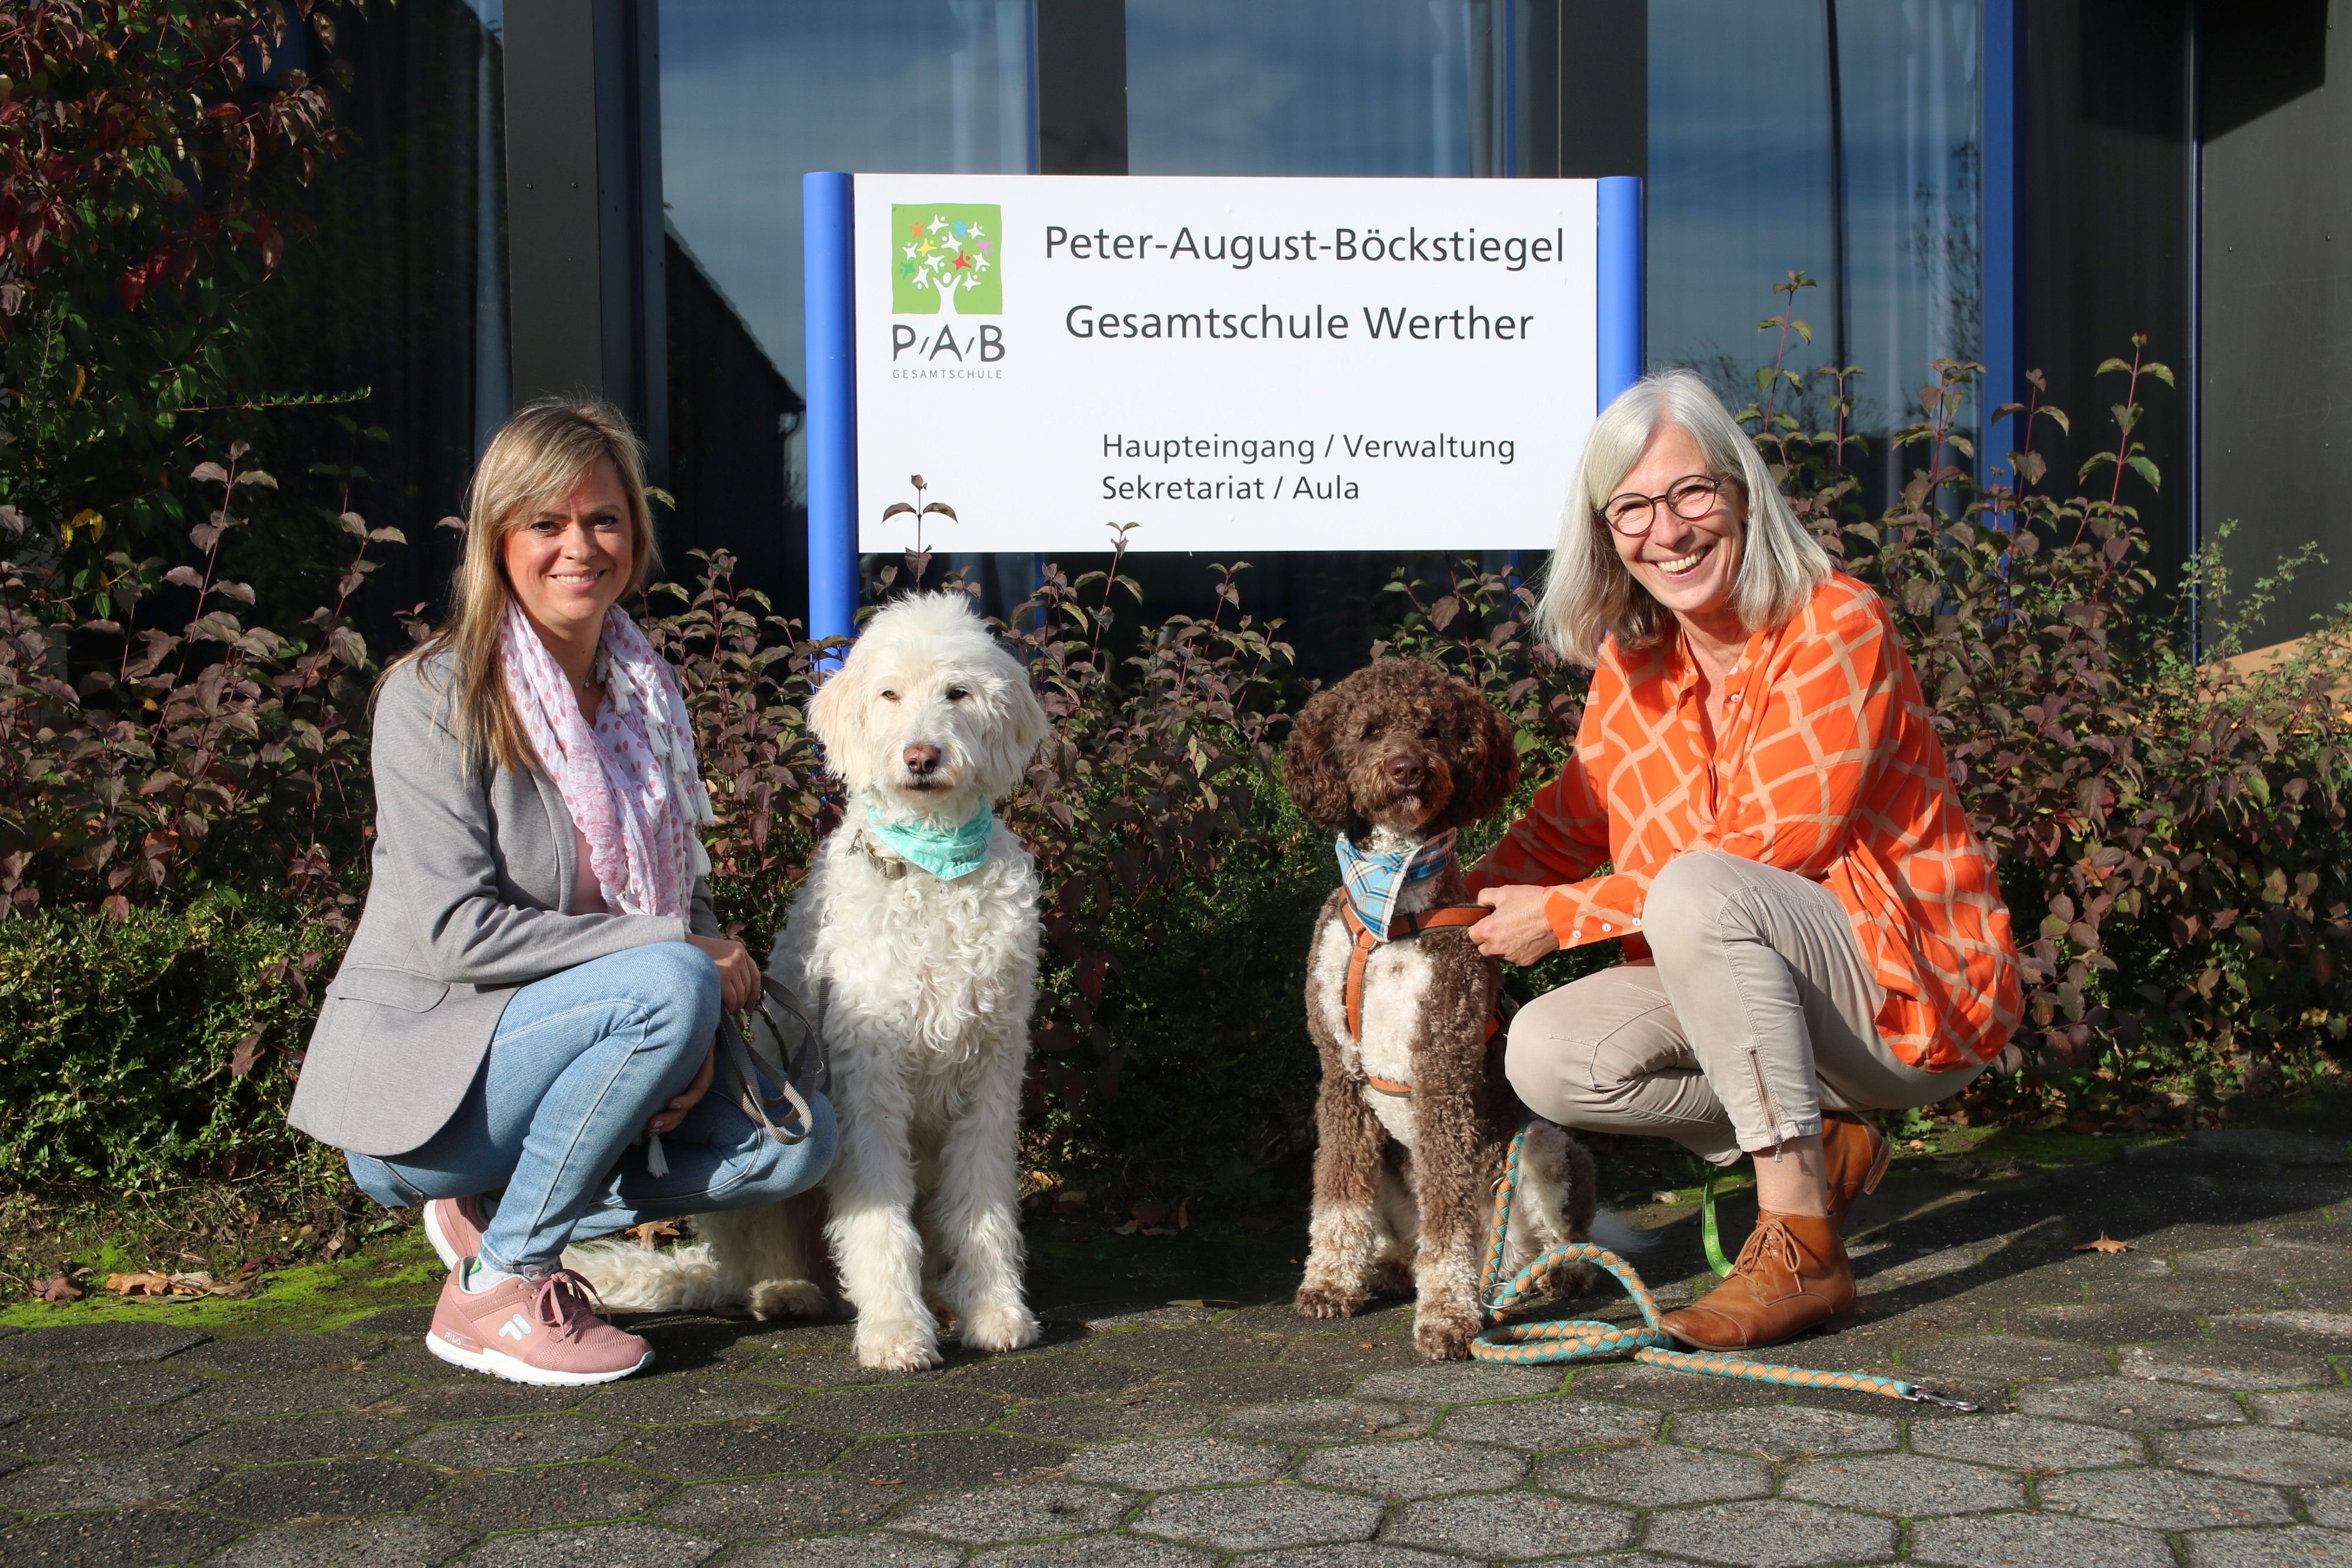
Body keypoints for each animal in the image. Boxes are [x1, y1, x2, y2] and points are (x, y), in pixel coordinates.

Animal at [569, 592, 1048, 1373]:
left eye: (957, 692)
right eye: (889, 694)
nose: (922, 756)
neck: (929, 870)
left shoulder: (991, 1072)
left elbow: (982, 1206)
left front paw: (994, 1309)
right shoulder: (867, 1078)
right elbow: (878, 1216)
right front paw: (895, 1329)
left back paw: (943, 1297)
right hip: (774, 1118)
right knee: (762, 1249)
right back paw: (786, 1289)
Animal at [1289, 658, 1599, 1354]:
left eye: (1433, 730)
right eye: (1371, 730)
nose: (1409, 768)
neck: (1393, 912)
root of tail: (1502, 1267)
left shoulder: (1443, 1071)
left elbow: (1448, 1221)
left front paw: (1448, 1315)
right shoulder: (1339, 1074)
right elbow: (1337, 1196)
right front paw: (1330, 1284)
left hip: (1545, 1144)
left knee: (1554, 1235)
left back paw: (1549, 1276)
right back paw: (1389, 1270)